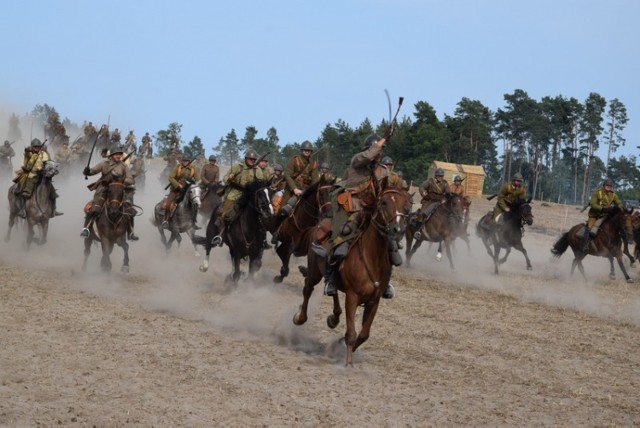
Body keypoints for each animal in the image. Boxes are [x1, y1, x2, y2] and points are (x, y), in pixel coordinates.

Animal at [292, 176, 410, 366]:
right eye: (383, 202)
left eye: (405, 204)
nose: (397, 230)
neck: (371, 256)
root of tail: (319, 225)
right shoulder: (353, 297)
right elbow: (351, 333)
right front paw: (348, 363)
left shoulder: (374, 301)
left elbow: (363, 335)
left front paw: (339, 348)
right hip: (314, 273)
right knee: (307, 289)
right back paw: (299, 318)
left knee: (332, 289)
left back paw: (334, 318)